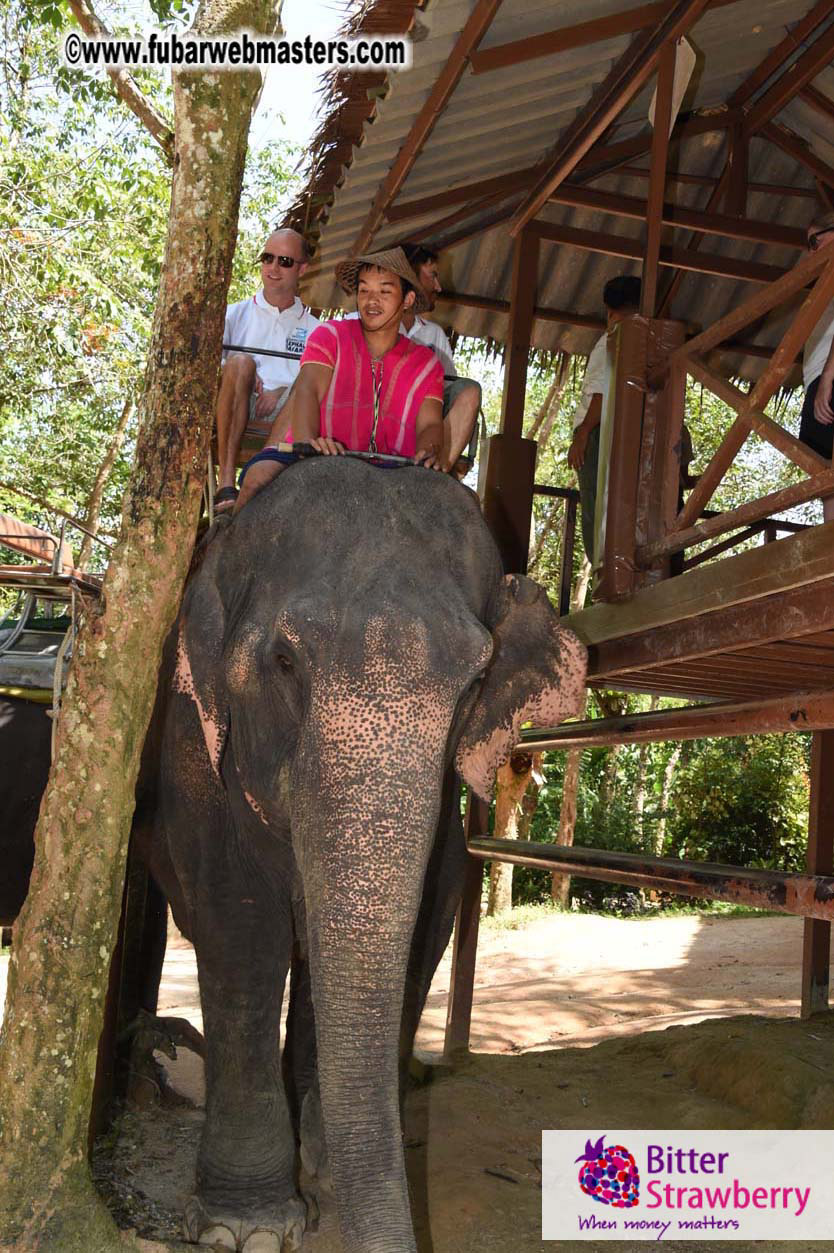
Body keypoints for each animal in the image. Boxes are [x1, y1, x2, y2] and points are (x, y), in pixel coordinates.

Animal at [141, 454, 586, 1253]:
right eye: (284, 660)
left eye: (477, 681)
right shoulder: (192, 748)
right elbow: (241, 932)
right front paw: (245, 1227)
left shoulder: (448, 818)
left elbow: (426, 927)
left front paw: (324, 1168)